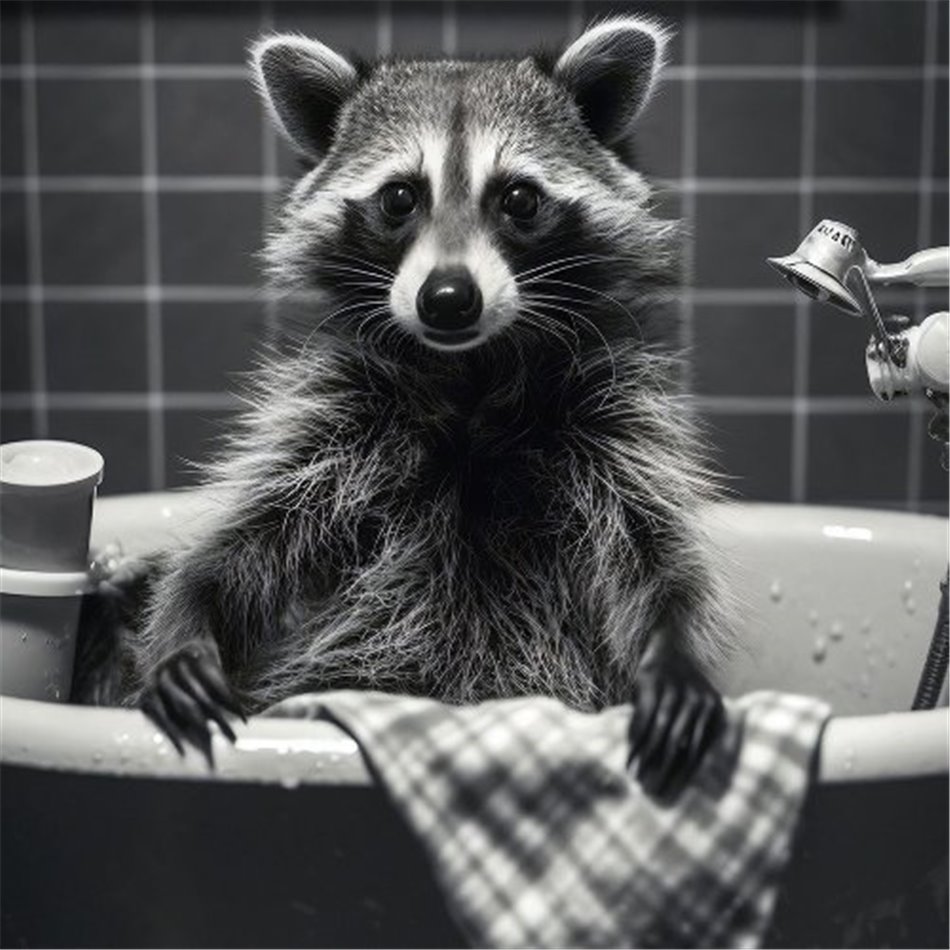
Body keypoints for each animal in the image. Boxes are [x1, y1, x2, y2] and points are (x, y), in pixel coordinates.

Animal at [116, 17, 732, 798]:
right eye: (400, 197)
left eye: (518, 198)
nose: (447, 298)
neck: (469, 375)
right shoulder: (333, 415)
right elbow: (247, 543)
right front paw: (186, 619)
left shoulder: (616, 414)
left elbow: (654, 553)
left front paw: (675, 650)